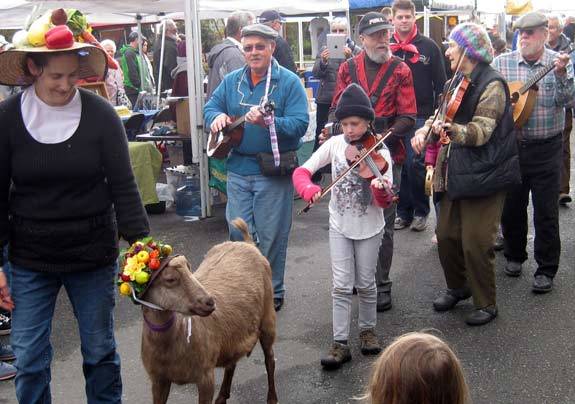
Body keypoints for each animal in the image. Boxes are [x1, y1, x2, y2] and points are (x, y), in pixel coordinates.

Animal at [142, 219, 280, 402]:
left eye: (189, 268)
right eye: (170, 279)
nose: (209, 302)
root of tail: (248, 244)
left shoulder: (205, 376)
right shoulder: (158, 379)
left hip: (268, 319)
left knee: (270, 359)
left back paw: (272, 398)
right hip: (234, 334)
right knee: (232, 363)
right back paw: (222, 396)